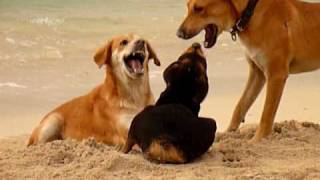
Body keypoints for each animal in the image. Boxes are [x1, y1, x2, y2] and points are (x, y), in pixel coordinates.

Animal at [176, 0, 320, 142]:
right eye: (187, 6)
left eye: (199, 9)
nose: (179, 33)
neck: (249, 14)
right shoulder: (257, 73)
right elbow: (241, 105)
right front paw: (228, 133)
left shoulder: (276, 75)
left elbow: (267, 114)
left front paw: (257, 140)